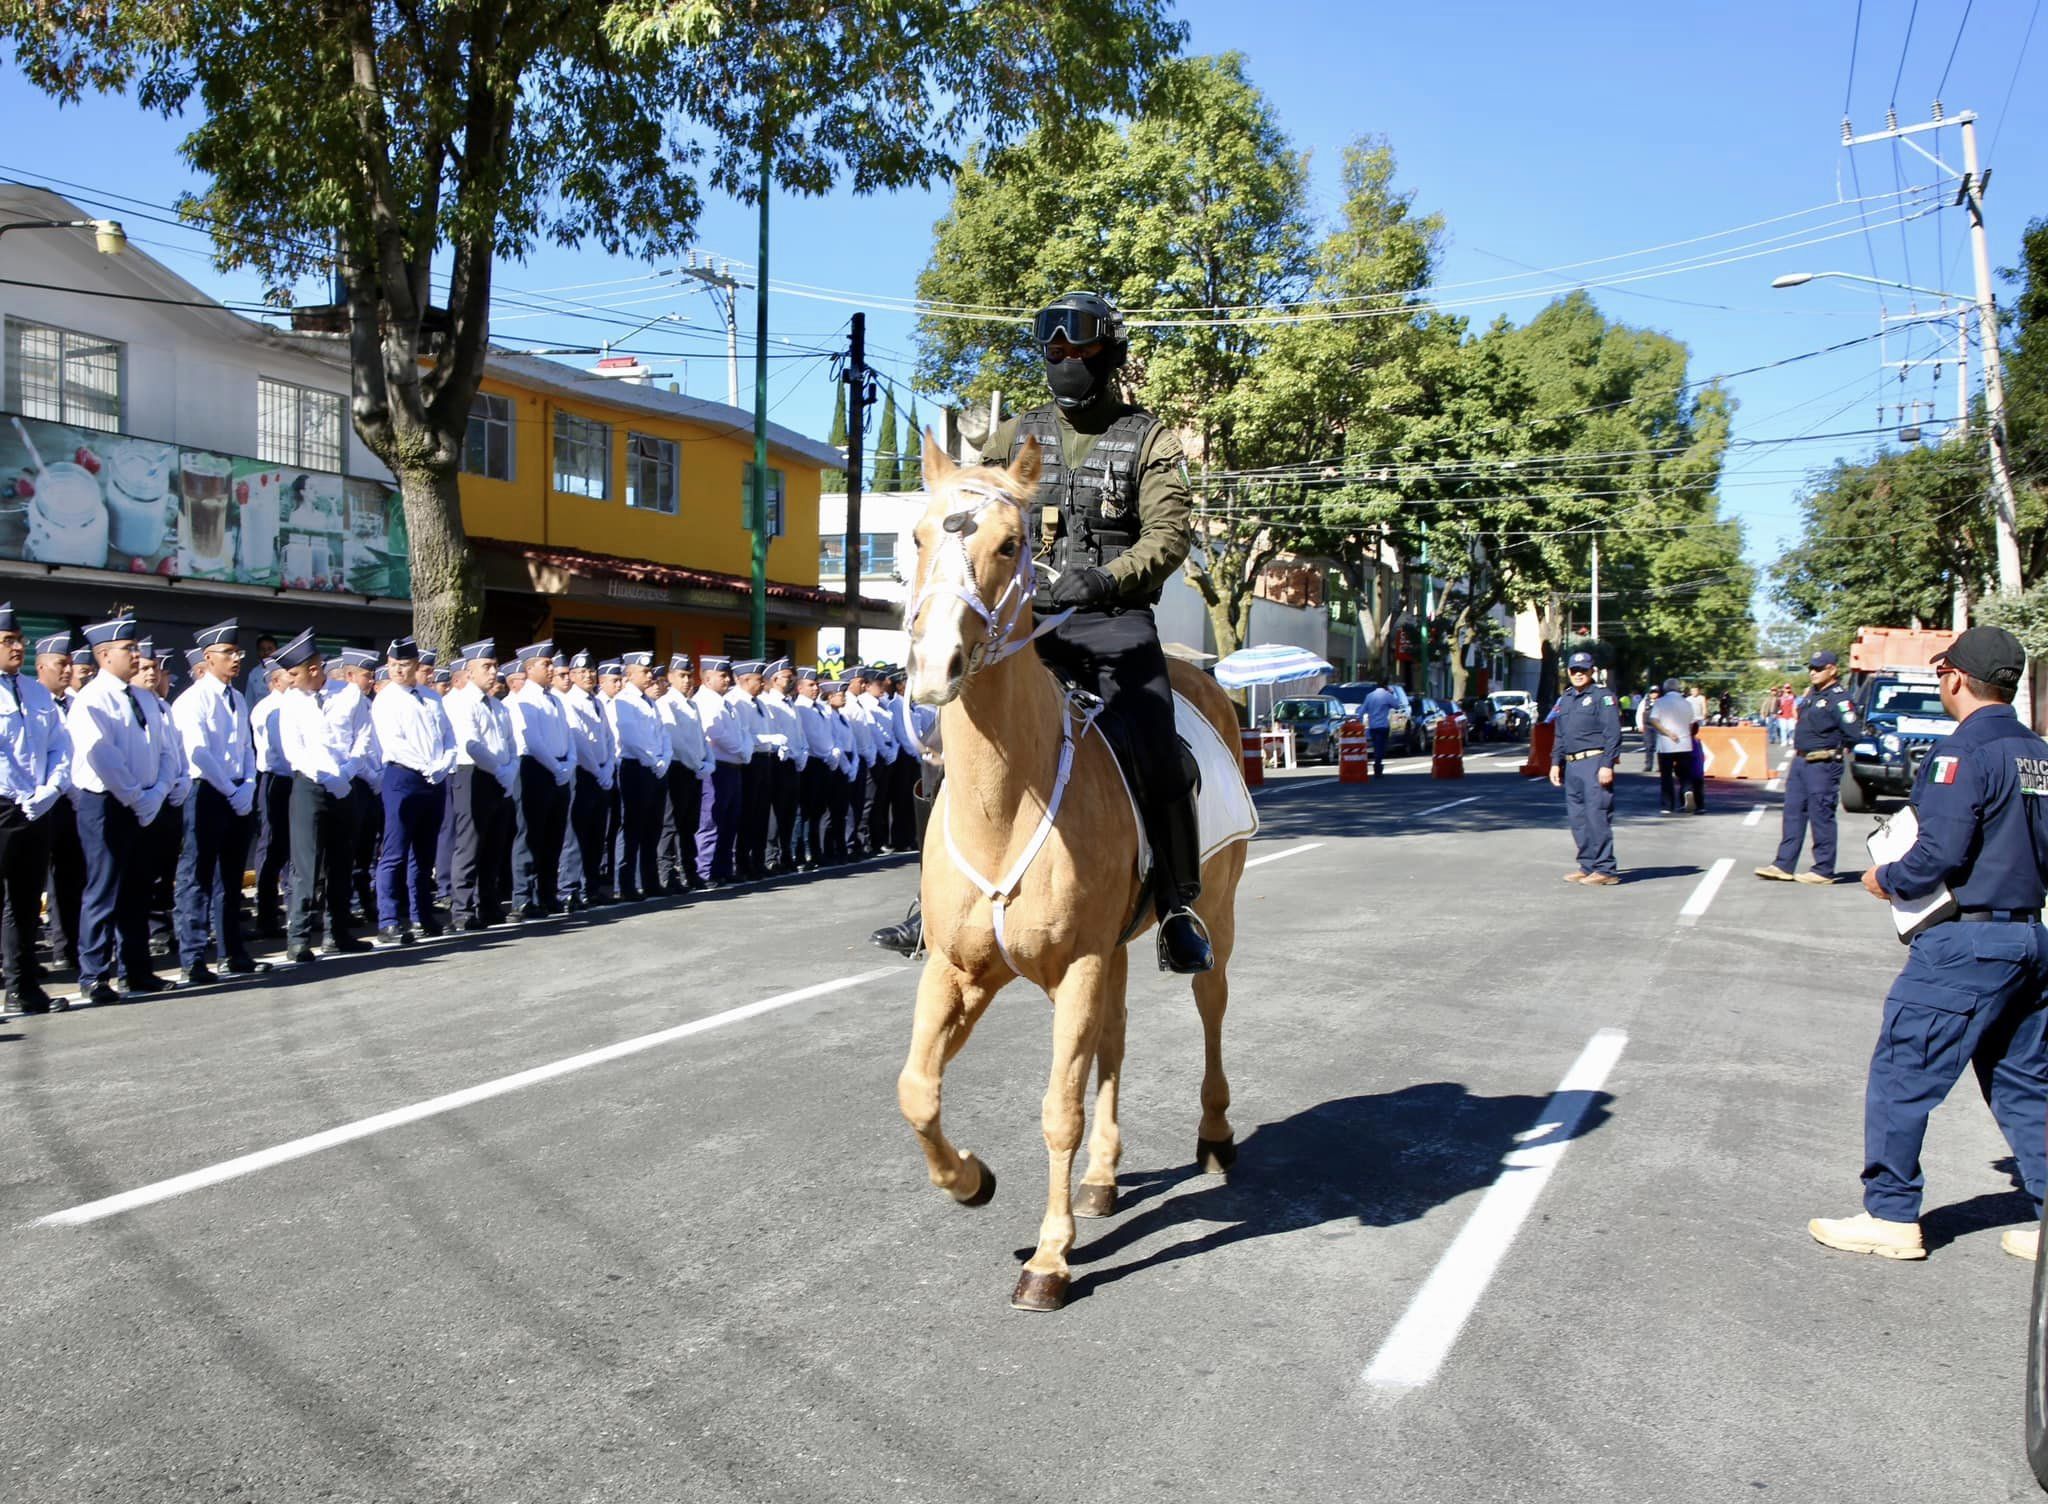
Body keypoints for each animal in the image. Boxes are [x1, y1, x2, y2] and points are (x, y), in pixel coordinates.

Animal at [901, 430, 1245, 1311]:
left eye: (1009, 544)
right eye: (914, 539)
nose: (934, 665)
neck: (1004, 805)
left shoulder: (1080, 964)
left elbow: (1059, 1106)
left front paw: (1050, 1259)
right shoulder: (959, 969)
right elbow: (918, 1090)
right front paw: (970, 1180)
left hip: (1214, 916)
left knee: (1211, 1007)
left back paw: (1215, 1135)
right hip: (1113, 950)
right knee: (1114, 1043)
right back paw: (1101, 1179)